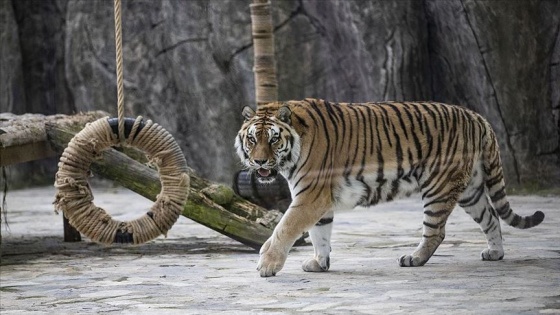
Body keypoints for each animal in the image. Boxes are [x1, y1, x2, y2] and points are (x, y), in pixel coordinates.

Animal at [234, 98, 544, 276]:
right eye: (252, 139)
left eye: (273, 139)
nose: (259, 160)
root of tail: (477, 117)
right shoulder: (319, 200)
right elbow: (320, 233)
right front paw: (319, 264)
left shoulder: (311, 196)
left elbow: (285, 228)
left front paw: (267, 264)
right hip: (470, 190)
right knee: (490, 217)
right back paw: (495, 253)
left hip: (438, 185)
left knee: (436, 232)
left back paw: (414, 259)